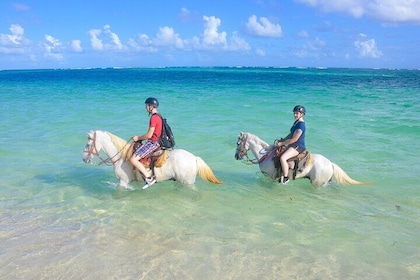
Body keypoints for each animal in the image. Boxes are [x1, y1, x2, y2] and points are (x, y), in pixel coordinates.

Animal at [83, 131, 225, 188]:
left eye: (88, 143)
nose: (84, 158)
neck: (122, 157)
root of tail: (194, 158)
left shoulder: (123, 181)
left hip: (187, 182)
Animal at [235, 132, 370, 187]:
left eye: (238, 143)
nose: (236, 156)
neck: (266, 155)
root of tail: (330, 164)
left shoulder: (270, 177)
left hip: (317, 183)